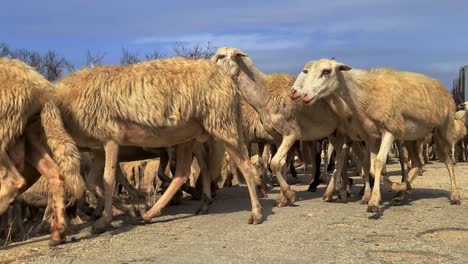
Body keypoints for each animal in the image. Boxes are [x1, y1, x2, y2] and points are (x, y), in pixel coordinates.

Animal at [54, 56, 264, 232]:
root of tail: (228, 80)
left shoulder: (110, 139)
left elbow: (108, 179)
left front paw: (105, 219)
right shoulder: (97, 148)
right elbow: (92, 182)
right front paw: (129, 209)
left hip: (222, 125)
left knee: (244, 164)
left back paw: (256, 212)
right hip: (189, 136)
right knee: (185, 171)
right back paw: (154, 212)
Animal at [292, 58, 460, 211]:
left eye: (326, 71)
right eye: (307, 71)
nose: (304, 95)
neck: (363, 93)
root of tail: (442, 87)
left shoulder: (389, 130)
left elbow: (378, 163)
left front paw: (373, 202)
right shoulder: (372, 137)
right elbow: (371, 167)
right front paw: (390, 187)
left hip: (443, 130)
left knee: (447, 161)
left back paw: (455, 195)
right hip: (412, 137)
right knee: (418, 164)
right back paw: (402, 191)